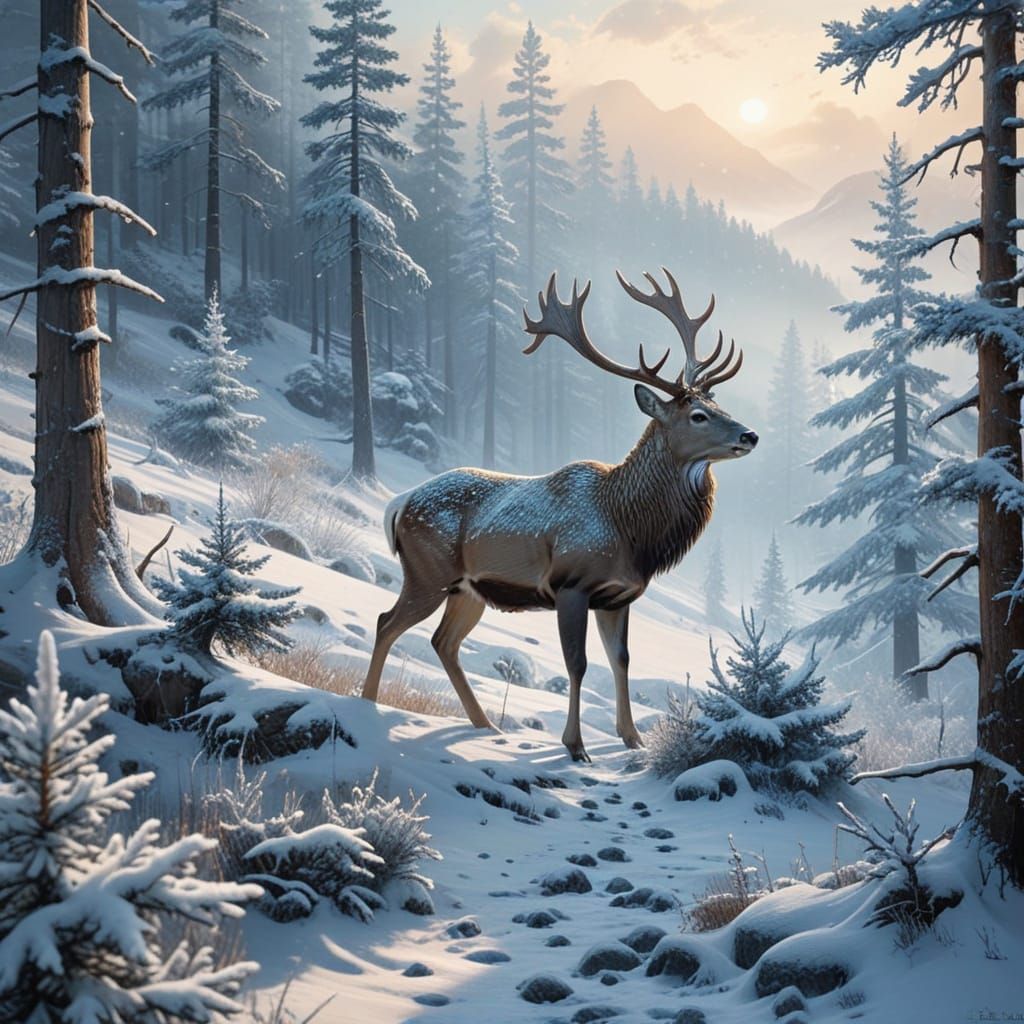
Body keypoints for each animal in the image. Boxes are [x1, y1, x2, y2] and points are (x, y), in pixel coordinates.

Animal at [362, 268, 757, 762]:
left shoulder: (619, 597)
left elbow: (621, 661)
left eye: (721, 406)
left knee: (443, 642)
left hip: (468, 589)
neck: (630, 528)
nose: (750, 434)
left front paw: (634, 740)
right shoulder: (572, 584)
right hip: (425, 572)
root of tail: (399, 504)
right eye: (699, 415)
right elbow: (578, 663)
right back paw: (367, 703)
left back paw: (485, 726)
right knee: (386, 623)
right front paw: (575, 746)